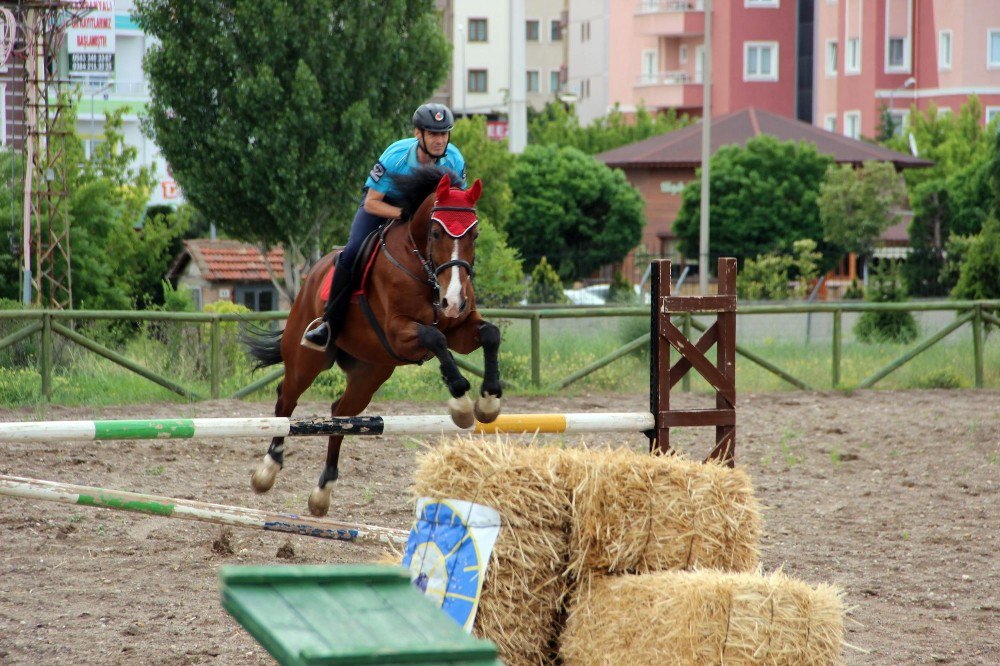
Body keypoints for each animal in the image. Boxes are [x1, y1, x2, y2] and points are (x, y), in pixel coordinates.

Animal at [244, 169, 500, 516]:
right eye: (435, 233)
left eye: (474, 235)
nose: (453, 301)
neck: (424, 269)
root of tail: (311, 277)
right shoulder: (398, 332)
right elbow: (434, 338)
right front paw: (460, 403)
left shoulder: (460, 330)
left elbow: (490, 334)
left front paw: (488, 401)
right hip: (306, 361)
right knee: (286, 399)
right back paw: (267, 470)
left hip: (370, 373)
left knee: (341, 415)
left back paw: (323, 491)